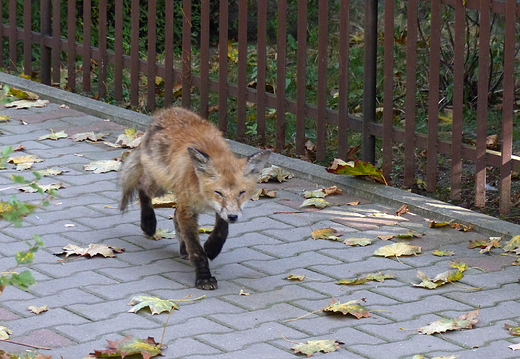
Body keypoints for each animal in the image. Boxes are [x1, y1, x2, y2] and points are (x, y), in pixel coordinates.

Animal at [118, 107, 270, 290]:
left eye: (242, 192)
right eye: (219, 192)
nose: (234, 217)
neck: (203, 196)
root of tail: (168, 111)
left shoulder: (219, 210)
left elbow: (222, 231)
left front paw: (212, 248)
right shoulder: (188, 210)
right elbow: (197, 251)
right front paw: (204, 278)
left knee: (174, 214)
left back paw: (183, 248)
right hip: (160, 185)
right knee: (142, 186)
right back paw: (148, 223)